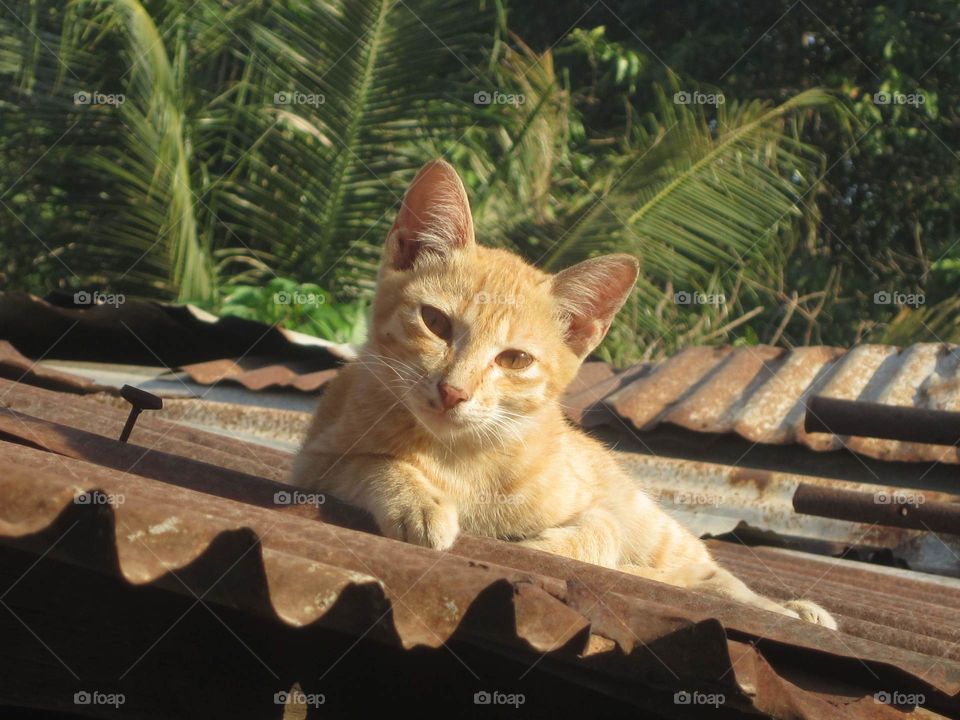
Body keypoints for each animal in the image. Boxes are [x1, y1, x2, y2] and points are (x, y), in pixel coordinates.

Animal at [288, 159, 836, 632]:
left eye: (514, 360)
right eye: (435, 323)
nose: (452, 390)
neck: (459, 456)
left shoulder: (597, 505)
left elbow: (602, 531)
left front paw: (551, 547)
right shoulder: (313, 464)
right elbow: (370, 463)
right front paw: (419, 501)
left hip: (655, 527)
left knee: (713, 576)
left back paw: (795, 610)